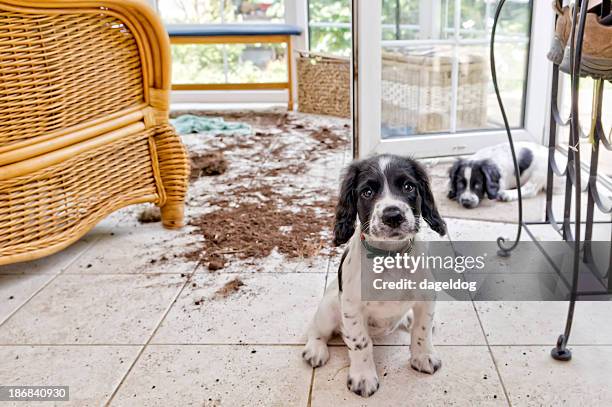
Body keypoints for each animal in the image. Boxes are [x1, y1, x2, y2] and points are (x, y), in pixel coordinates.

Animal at [304, 154, 448, 398]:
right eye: (367, 192)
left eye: (409, 186)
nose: (393, 216)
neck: (390, 256)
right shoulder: (352, 307)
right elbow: (360, 343)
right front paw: (363, 378)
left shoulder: (427, 297)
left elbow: (422, 330)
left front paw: (423, 356)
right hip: (329, 307)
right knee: (316, 328)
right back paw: (315, 349)